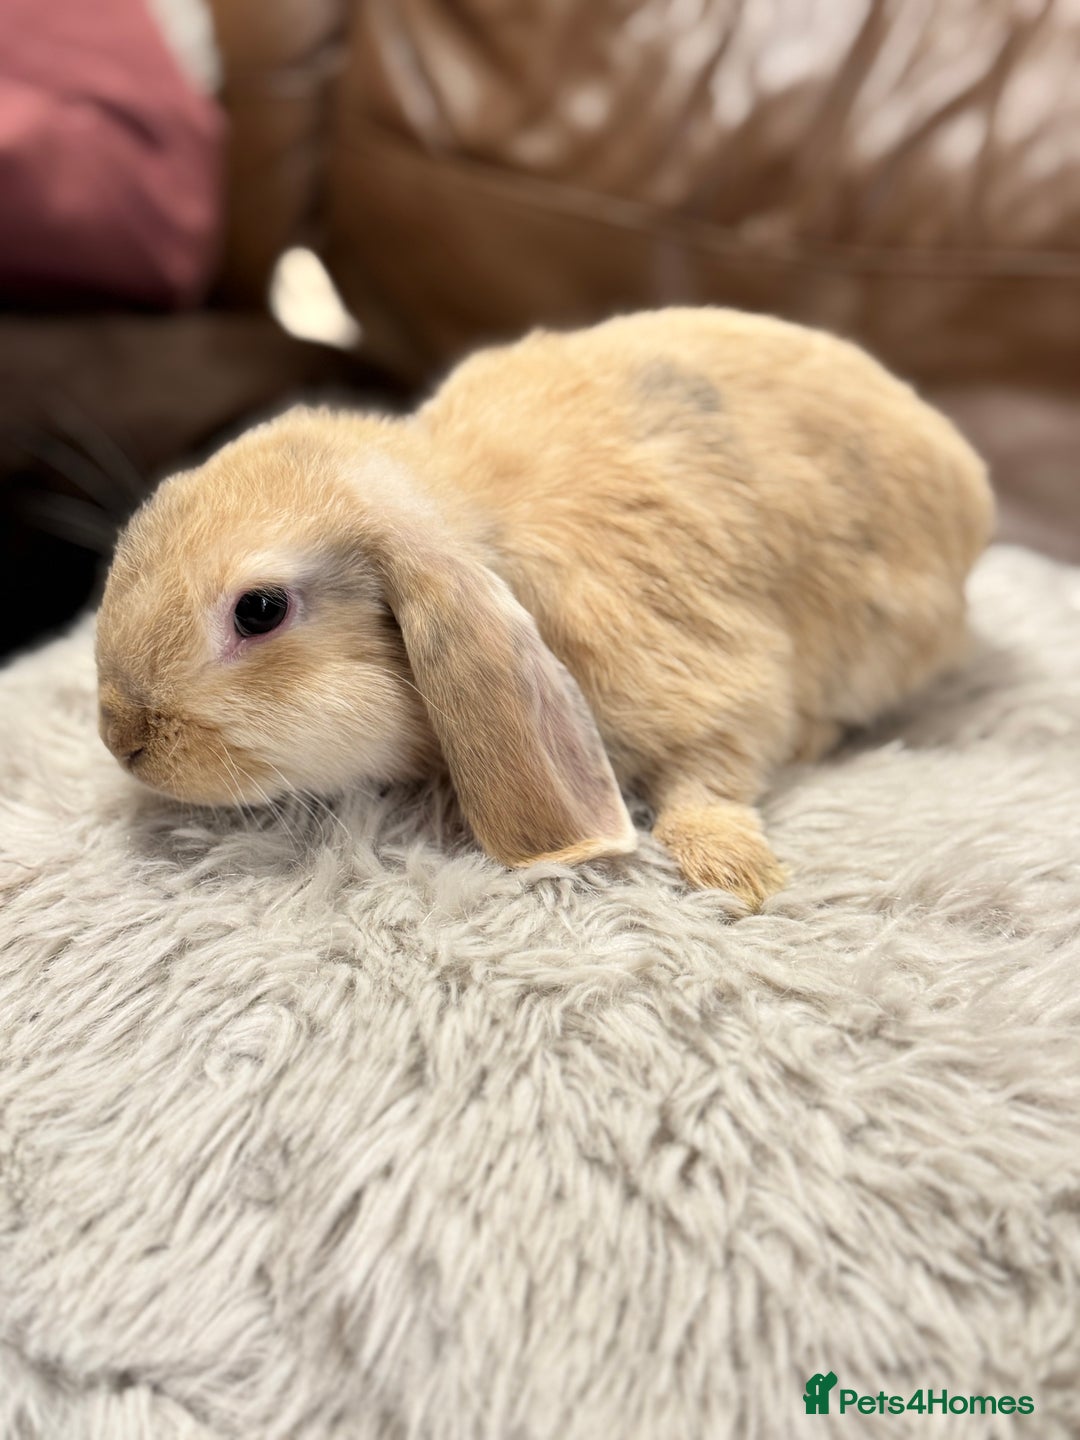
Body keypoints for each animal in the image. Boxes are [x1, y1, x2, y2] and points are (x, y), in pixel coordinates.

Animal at [95, 308, 994, 908]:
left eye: (259, 610)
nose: (120, 738)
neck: (474, 517)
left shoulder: (711, 681)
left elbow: (711, 775)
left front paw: (734, 873)